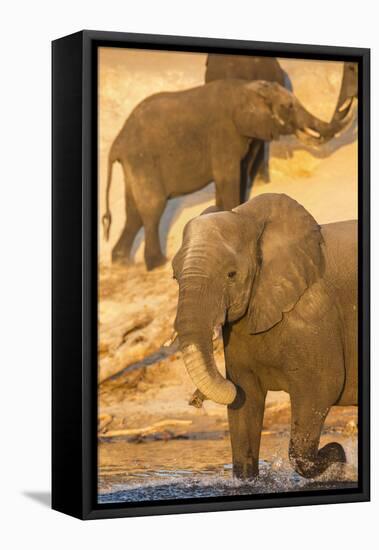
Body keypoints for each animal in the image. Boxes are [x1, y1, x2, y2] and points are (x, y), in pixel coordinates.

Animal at [102, 80, 352, 272]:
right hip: (143, 159)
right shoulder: (223, 133)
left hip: (135, 164)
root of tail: (117, 143)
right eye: (288, 106)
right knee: (152, 208)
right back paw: (157, 264)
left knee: (133, 213)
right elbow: (228, 177)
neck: (246, 88)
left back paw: (121, 263)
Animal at [174, 196, 358, 480]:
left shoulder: (313, 314)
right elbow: (245, 397)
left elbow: (321, 386)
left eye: (231, 274)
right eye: (174, 276)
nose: (195, 399)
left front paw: (337, 457)